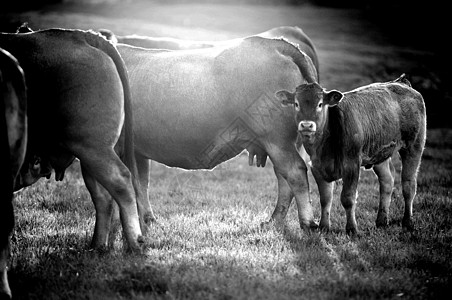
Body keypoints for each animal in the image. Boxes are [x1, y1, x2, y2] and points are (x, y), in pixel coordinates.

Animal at [0, 28, 145, 254]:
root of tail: (81, 35)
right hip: (89, 153)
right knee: (103, 196)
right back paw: (97, 245)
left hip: (92, 146)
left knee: (121, 182)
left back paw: (135, 243)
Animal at [113, 35, 320, 234]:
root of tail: (275, 44)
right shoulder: (138, 151)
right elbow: (141, 183)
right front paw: (147, 219)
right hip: (286, 142)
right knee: (283, 177)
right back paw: (275, 220)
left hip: (276, 139)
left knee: (294, 172)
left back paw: (307, 223)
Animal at [276, 75, 428, 234]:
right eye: (296, 104)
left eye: (320, 104)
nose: (306, 125)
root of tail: (401, 82)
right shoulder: (317, 168)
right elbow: (325, 199)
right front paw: (324, 226)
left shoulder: (351, 164)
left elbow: (347, 198)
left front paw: (352, 228)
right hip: (379, 153)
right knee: (387, 181)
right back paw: (381, 220)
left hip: (414, 146)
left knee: (409, 185)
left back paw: (408, 222)